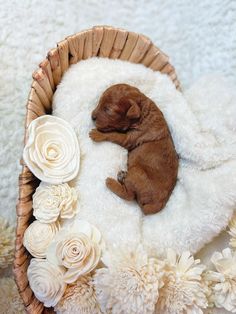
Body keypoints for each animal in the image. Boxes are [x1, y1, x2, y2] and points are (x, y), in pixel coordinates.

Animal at [89, 83, 178, 216]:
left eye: (108, 110)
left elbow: (114, 135)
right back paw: (122, 176)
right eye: (99, 102)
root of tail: (158, 205)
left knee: (130, 195)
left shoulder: (129, 138)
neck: (143, 111)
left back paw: (111, 182)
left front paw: (97, 134)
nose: (92, 116)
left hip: (137, 171)